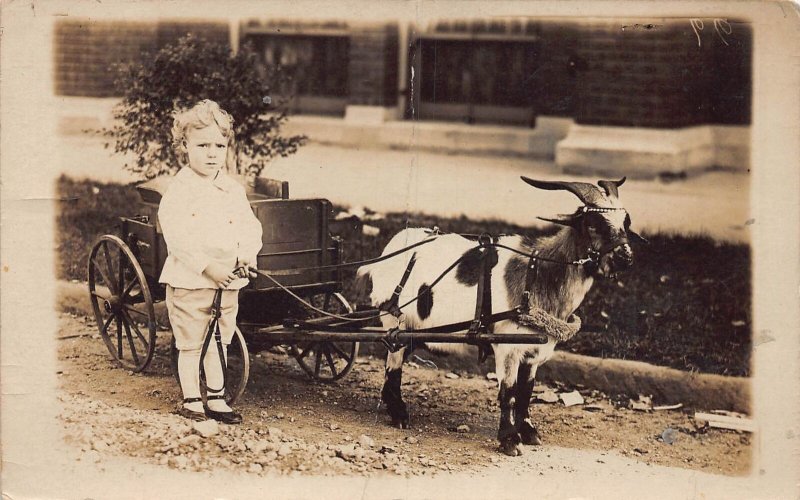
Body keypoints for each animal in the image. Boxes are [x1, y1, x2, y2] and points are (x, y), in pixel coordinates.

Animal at [360, 177, 640, 458]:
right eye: (592, 224)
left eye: (626, 222)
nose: (626, 258)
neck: (538, 272)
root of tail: (391, 248)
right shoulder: (507, 347)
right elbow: (509, 392)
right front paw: (509, 440)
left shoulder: (533, 351)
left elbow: (526, 391)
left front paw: (529, 432)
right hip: (394, 320)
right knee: (393, 365)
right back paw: (399, 415)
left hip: (416, 330)